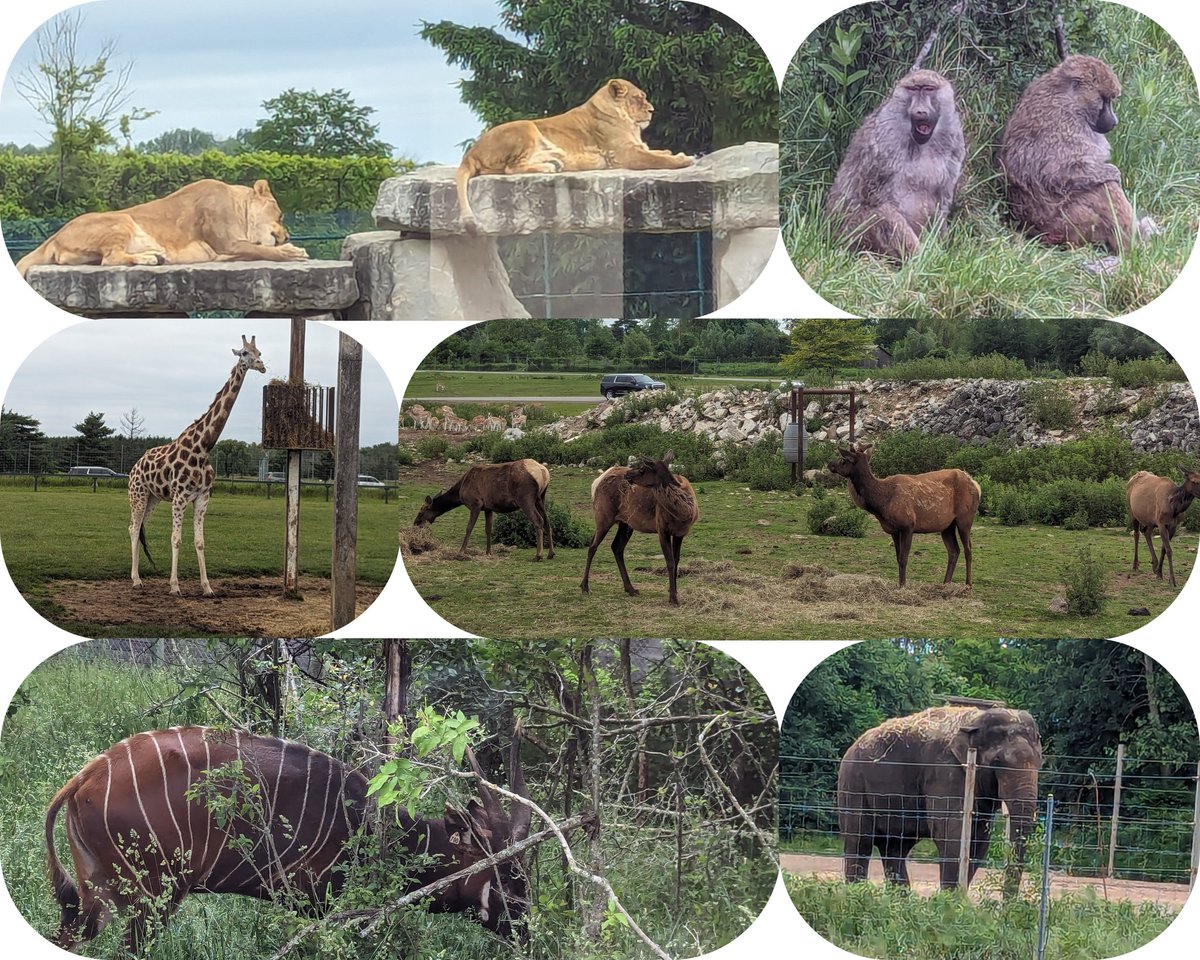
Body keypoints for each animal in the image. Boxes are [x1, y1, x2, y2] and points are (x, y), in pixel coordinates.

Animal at [16, 178, 308, 279]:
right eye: (280, 214)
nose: (288, 234)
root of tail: (53, 236)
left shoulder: (225, 248)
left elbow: (256, 249)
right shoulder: (226, 242)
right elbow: (264, 250)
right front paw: (293, 251)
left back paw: (156, 256)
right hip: (121, 220)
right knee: (110, 259)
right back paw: (151, 258)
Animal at [455, 78, 694, 228]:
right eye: (638, 98)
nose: (652, 110)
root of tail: (470, 153)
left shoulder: (635, 147)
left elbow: (659, 152)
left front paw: (672, 153)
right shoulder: (624, 154)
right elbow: (655, 158)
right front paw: (684, 159)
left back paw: (555, 162)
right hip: (525, 126)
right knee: (510, 167)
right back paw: (548, 167)